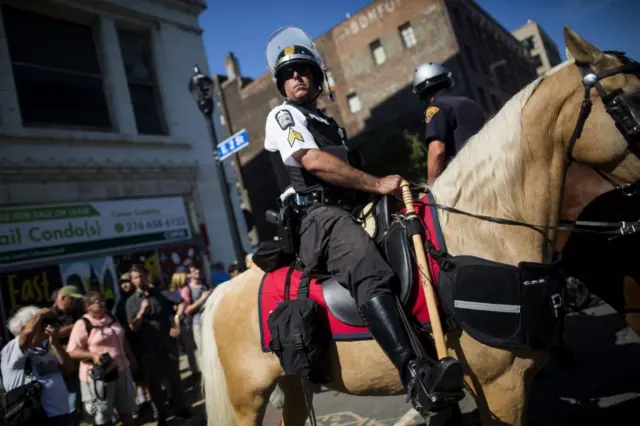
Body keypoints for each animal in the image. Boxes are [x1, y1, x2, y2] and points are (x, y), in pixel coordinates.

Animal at [200, 28, 640, 424]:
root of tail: (221, 292)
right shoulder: (502, 389)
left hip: (290, 384)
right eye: (628, 99)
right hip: (247, 399)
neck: (486, 232)